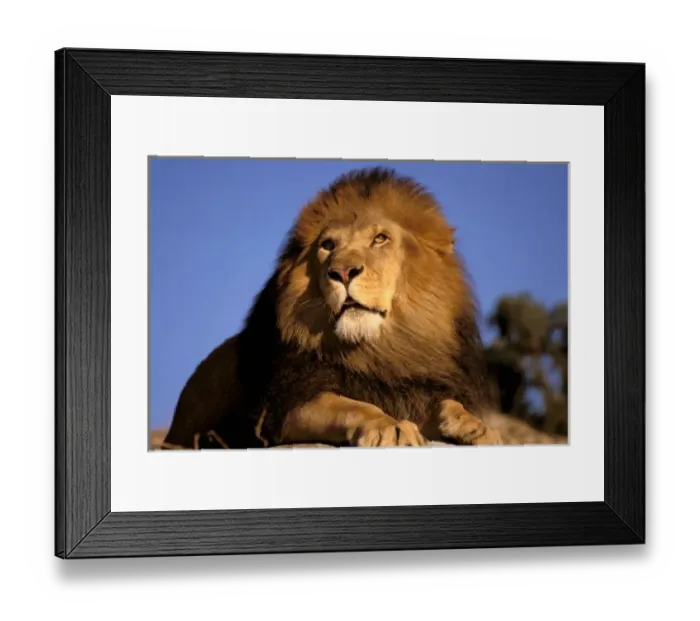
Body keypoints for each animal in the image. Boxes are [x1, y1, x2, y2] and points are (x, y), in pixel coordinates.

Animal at [161, 167, 503, 451]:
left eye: (380, 239)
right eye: (328, 246)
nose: (342, 272)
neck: (380, 350)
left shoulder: (417, 386)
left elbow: (445, 403)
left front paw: (476, 425)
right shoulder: (285, 407)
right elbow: (350, 406)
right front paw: (390, 426)